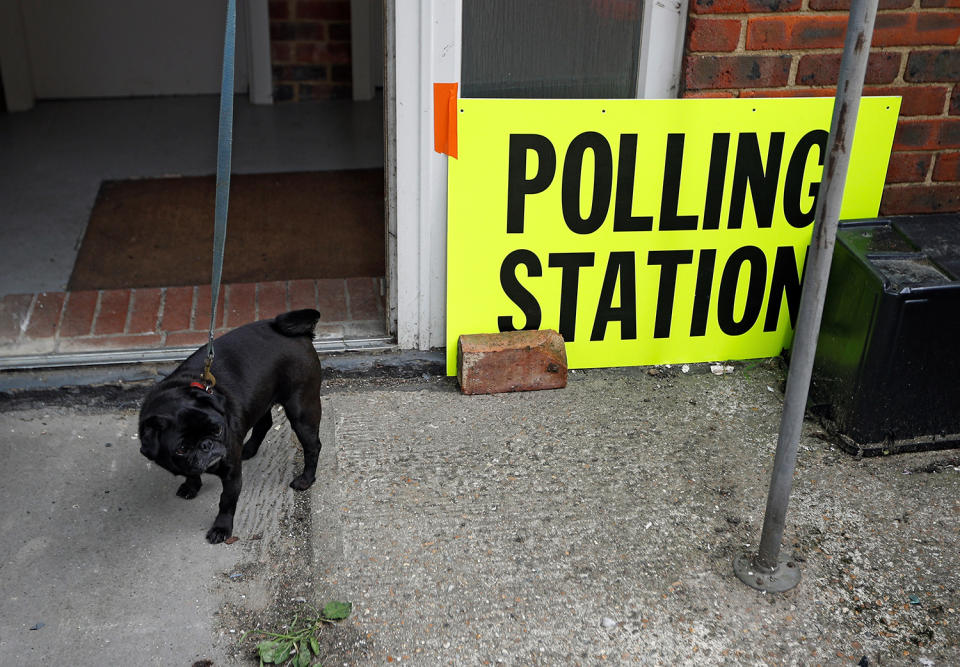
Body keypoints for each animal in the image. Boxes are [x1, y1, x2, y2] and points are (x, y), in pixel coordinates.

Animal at [139, 310, 324, 544]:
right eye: (181, 449)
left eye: (217, 430)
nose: (207, 445)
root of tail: (300, 334)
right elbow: (192, 472)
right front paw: (191, 485)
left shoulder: (231, 474)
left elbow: (226, 501)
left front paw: (221, 528)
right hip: (261, 399)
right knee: (264, 423)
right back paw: (248, 449)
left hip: (301, 411)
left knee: (313, 446)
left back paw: (305, 480)